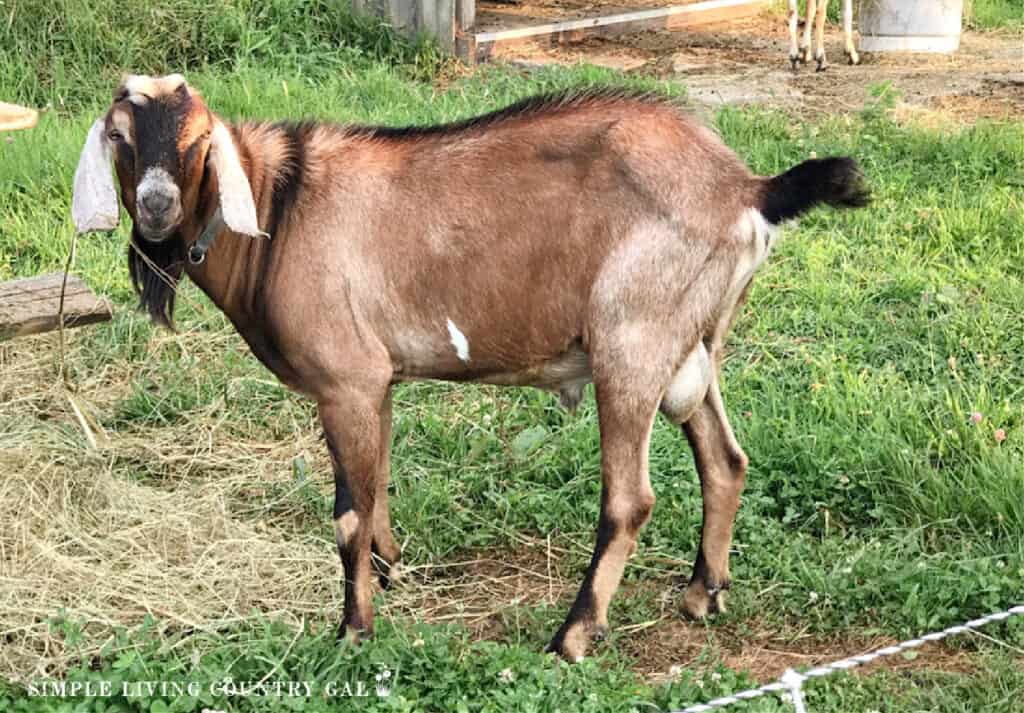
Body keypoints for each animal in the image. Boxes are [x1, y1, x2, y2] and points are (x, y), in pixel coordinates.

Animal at [72, 75, 868, 659]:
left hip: (632, 342)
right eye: (119, 136)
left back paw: (572, 636)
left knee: (630, 500)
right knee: (725, 459)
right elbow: (377, 488)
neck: (279, 209)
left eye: (197, 140)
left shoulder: (345, 380)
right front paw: (390, 572)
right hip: (694, 342)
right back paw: (704, 593)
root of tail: (746, 188)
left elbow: (347, 513)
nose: (156, 208)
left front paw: (353, 630)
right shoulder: (375, 383)